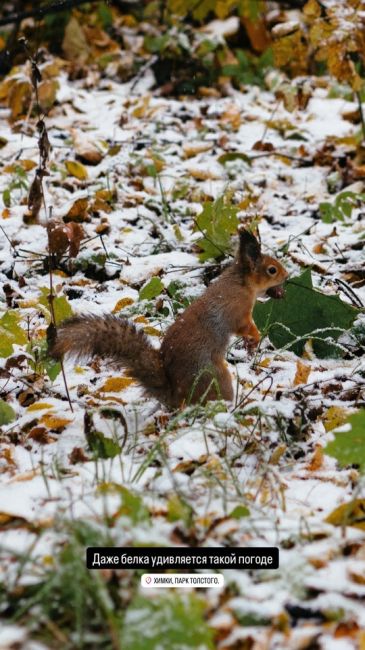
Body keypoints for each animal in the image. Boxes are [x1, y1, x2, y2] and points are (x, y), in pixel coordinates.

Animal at [50, 229, 288, 404]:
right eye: (272, 270)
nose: (287, 275)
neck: (241, 282)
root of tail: (174, 393)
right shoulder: (237, 308)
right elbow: (244, 326)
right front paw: (254, 338)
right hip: (213, 377)